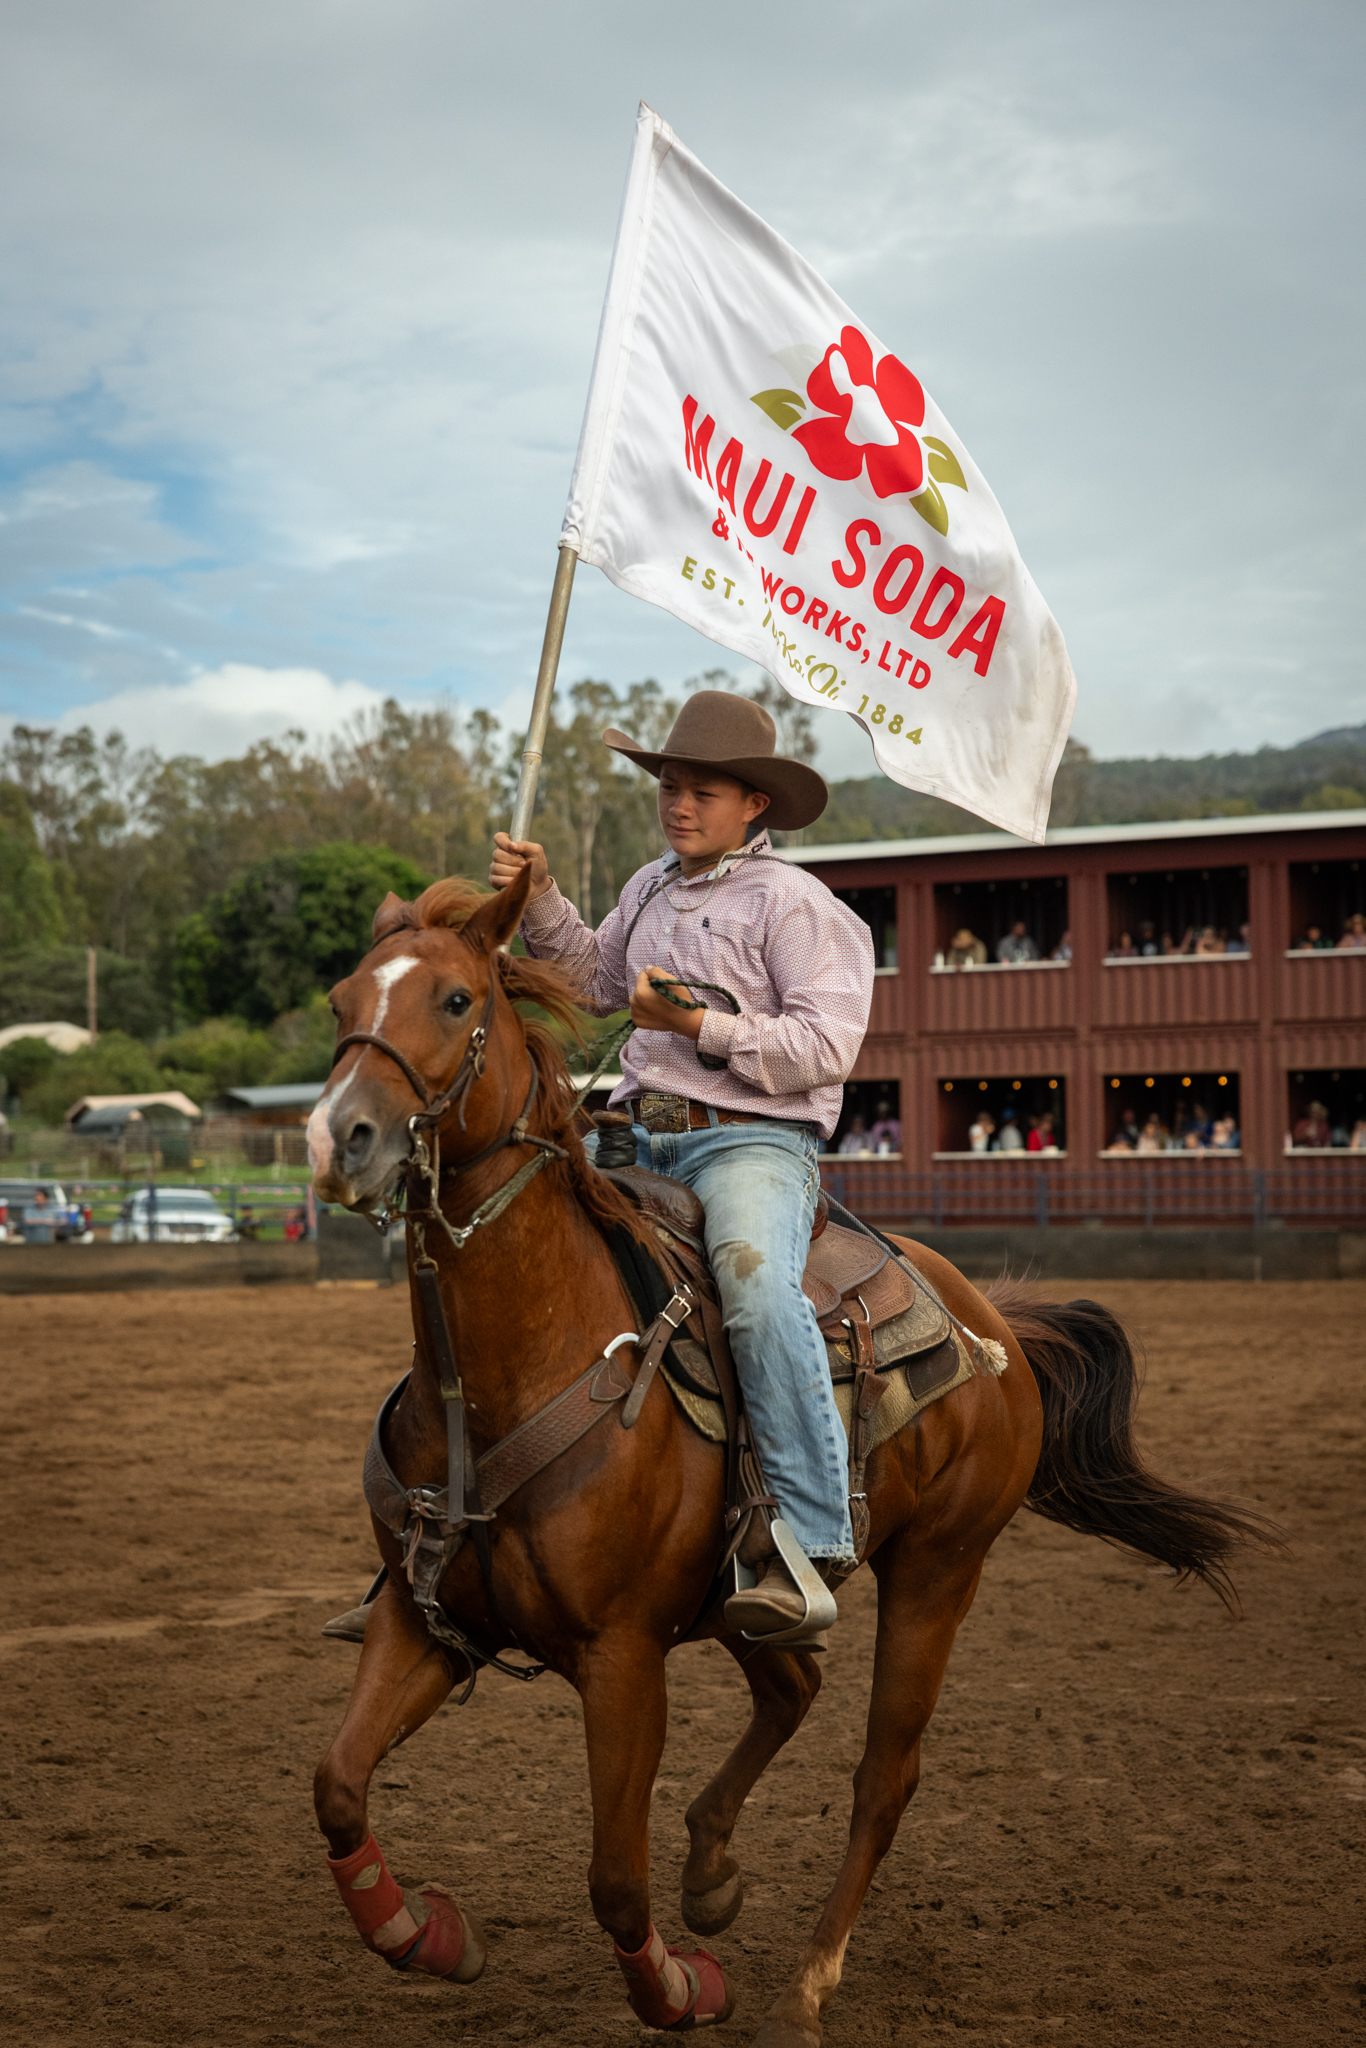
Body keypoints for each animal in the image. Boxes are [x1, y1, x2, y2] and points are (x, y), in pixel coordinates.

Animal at [306, 863, 1276, 2045]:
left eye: (454, 1000)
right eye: (342, 1000)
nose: (338, 1138)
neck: (503, 1376)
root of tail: (986, 1321)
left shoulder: (620, 1656)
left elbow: (612, 1878)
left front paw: (683, 1989)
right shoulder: (427, 1618)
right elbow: (338, 1782)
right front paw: (427, 1937)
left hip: (940, 1569)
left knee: (882, 1773)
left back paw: (807, 1984)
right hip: (740, 1595)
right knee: (794, 1678)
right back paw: (712, 1870)